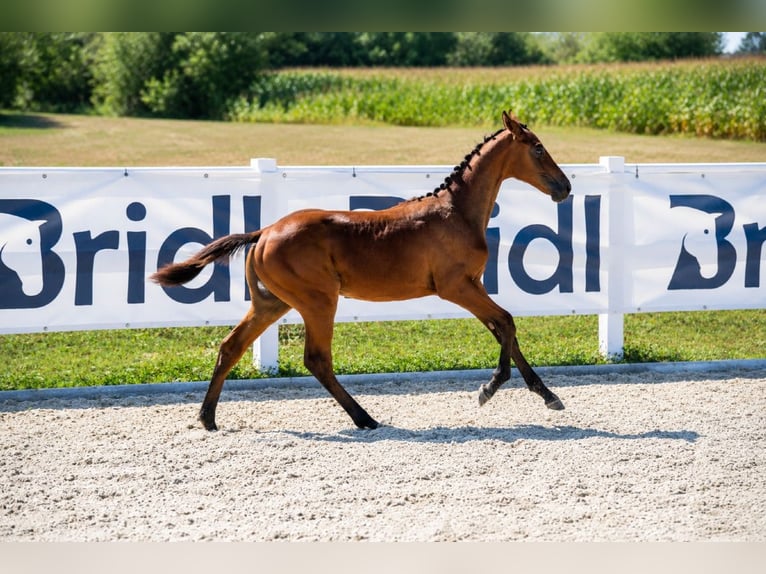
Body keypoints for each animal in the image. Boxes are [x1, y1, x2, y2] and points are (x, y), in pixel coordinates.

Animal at [151, 110, 572, 431]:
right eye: (538, 147)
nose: (565, 187)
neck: (456, 213)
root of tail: (264, 232)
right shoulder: (456, 286)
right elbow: (507, 322)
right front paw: (490, 388)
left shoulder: (473, 285)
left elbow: (504, 329)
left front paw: (548, 395)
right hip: (318, 301)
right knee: (316, 359)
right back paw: (364, 417)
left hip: (271, 303)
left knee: (231, 347)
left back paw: (207, 417)